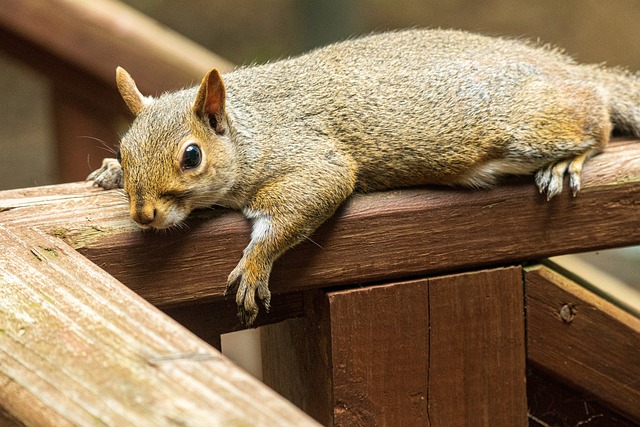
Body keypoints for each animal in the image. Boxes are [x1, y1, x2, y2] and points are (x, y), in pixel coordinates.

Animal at [87, 29, 640, 324]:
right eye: (125, 148)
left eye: (192, 156)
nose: (145, 214)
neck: (252, 128)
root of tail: (567, 68)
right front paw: (109, 174)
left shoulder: (313, 157)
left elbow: (300, 205)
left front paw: (254, 265)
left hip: (526, 127)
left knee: (595, 119)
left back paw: (567, 159)